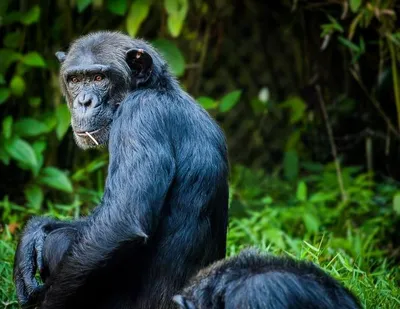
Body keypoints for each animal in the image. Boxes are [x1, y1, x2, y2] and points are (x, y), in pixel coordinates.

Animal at [12, 31, 228, 308]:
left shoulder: (139, 116)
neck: (155, 89)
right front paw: (33, 234)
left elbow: (120, 221)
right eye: (75, 80)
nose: (84, 101)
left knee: (61, 242)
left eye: (98, 78)